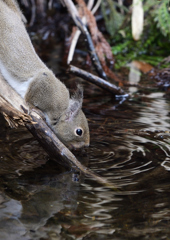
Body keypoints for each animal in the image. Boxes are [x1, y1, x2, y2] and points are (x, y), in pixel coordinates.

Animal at [0, 0, 89, 149]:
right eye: (79, 131)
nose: (86, 145)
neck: (61, 109)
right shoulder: (44, 83)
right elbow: (29, 97)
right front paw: (31, 106)